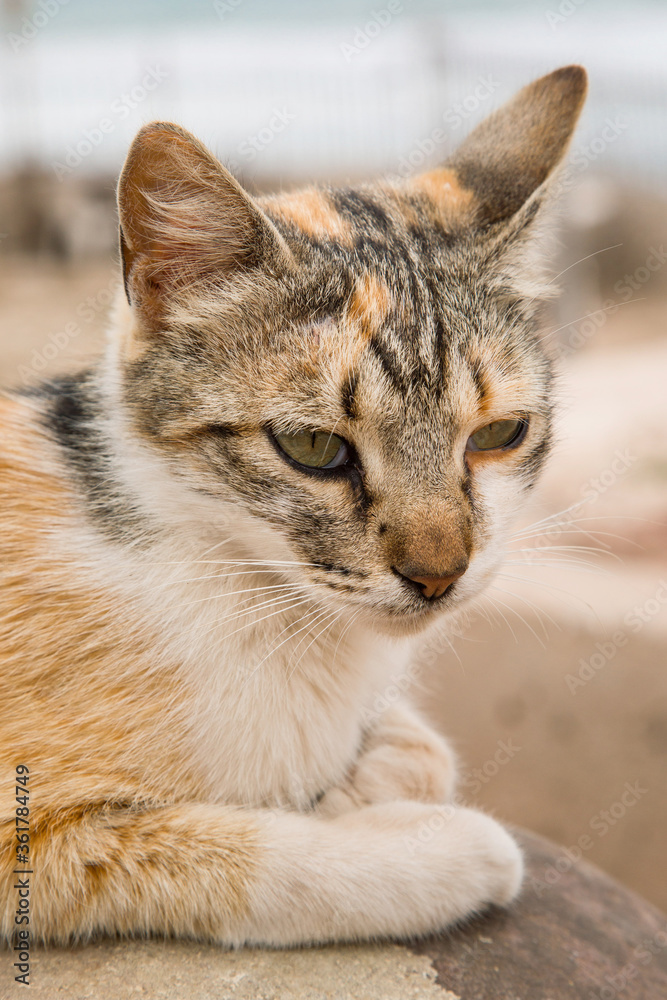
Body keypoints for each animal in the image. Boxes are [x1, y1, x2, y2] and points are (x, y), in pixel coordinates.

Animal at [0, 64, 584, 944]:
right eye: (312, 447)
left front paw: (361, 780)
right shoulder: (34, 834)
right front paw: (429, 845)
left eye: (498, 434)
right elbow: (235, 853)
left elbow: (423, 750)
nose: (438, 574)